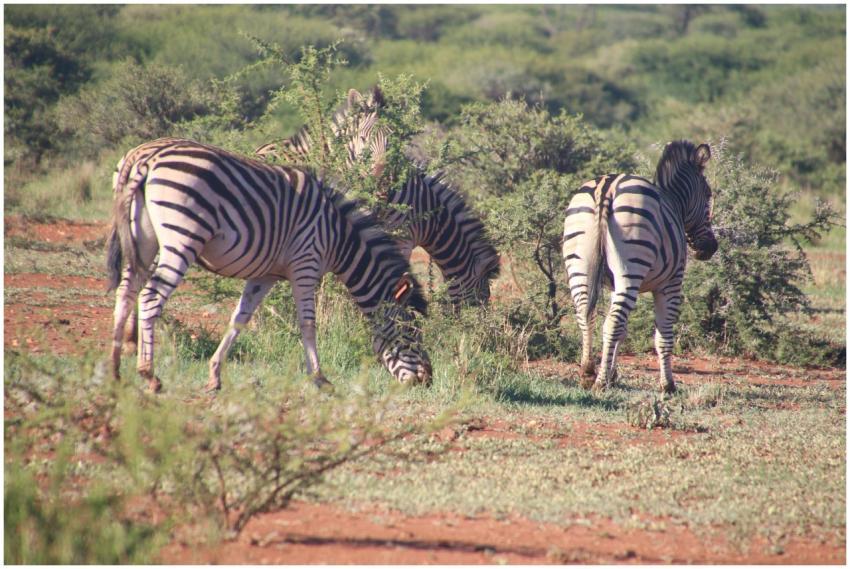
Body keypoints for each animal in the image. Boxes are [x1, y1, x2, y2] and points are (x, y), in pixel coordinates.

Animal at [106, 137, 432, 393]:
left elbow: (239, 318)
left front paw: (214, 375)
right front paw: (320, 379)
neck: (338, 237)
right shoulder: (306, 264)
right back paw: (149, 375)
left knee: (125, 294)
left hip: (142, 240)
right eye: (411, 334)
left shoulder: (266, 275)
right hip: (182, 238)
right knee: (150, 297)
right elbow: (308, 324)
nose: (426, 380)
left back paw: (115, 372)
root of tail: (146, 156)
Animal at [562, 140, 718, 393]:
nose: (710, 248)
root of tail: (607, 187)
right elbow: (663, 336)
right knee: (611, 323)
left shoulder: (614, 285)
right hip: (632, 266)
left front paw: (613, 373)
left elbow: (623, 331)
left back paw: (587, 372)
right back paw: (599, 382)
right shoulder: (671, 283)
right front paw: (668, 385)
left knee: (586, 315)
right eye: (708, 194)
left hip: (579, 264)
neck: (674, 203)